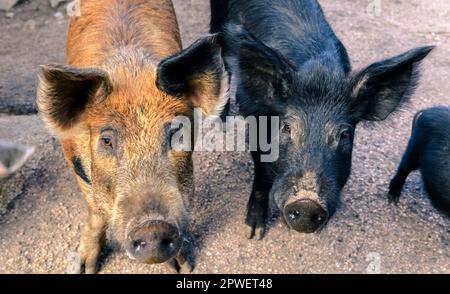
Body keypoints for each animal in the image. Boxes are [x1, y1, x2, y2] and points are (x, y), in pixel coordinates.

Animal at [36, 0, 229, 274]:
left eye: (175, 133)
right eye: (107, 140)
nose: (153, 228)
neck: (130, 70)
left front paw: (183, 267)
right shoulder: (74, 161)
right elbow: (95, 211)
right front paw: (83, 268)